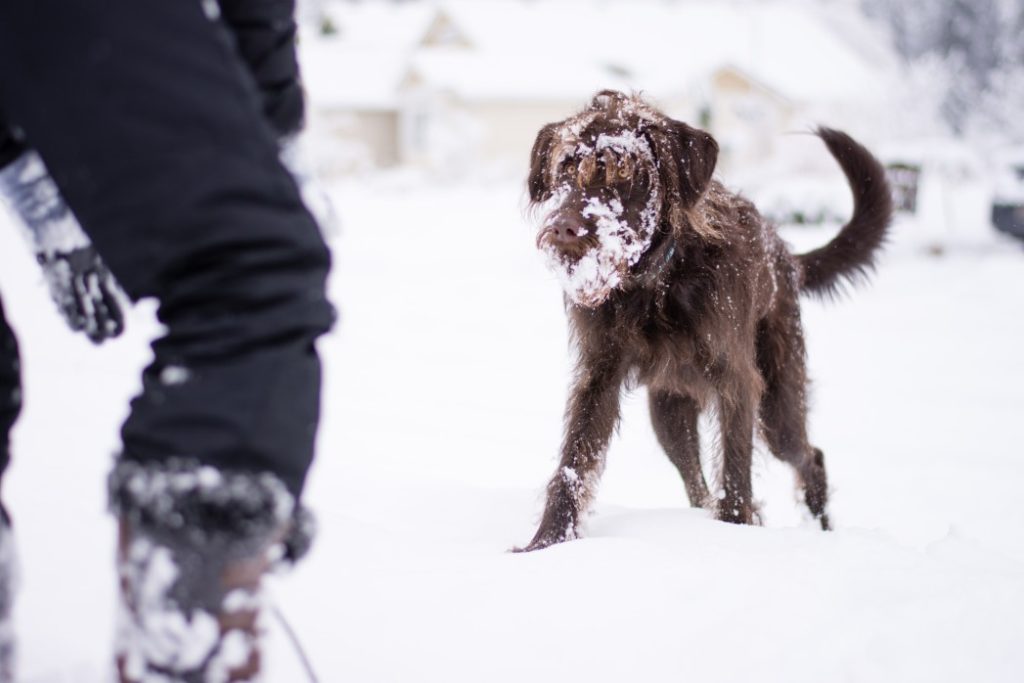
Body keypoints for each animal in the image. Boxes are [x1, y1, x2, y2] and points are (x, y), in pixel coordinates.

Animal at [516, 90, 892, 552]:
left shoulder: (737, 381)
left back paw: (821, 529)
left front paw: (735, 530)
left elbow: (735, 472)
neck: (657, 286)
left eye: (628, 173)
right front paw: (547, 543)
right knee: (696, 484)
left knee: (807, 456)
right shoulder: (598, 375)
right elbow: (574, 463)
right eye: (566, 167)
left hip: (778, 404)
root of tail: (784, 256)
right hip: (669, 416)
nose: (564, 228)